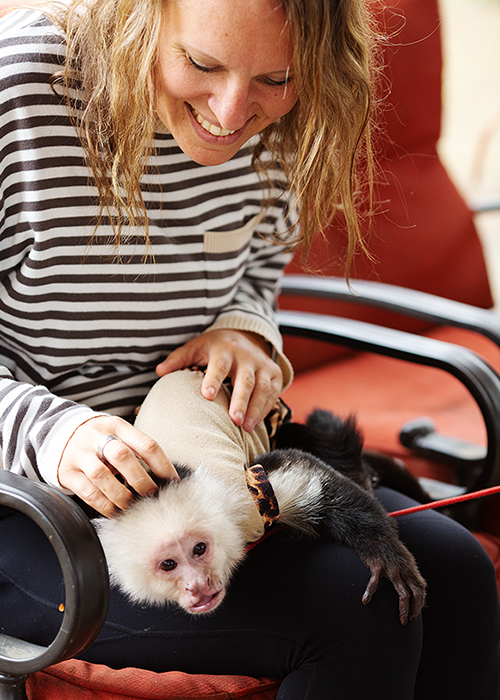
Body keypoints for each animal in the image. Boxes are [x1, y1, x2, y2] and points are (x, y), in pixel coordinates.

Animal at [93, 371, 427, 625]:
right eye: (168, 565)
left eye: (199, 549)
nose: (197, 586)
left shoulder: (249, 494)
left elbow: (316, 478)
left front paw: (386, 556)